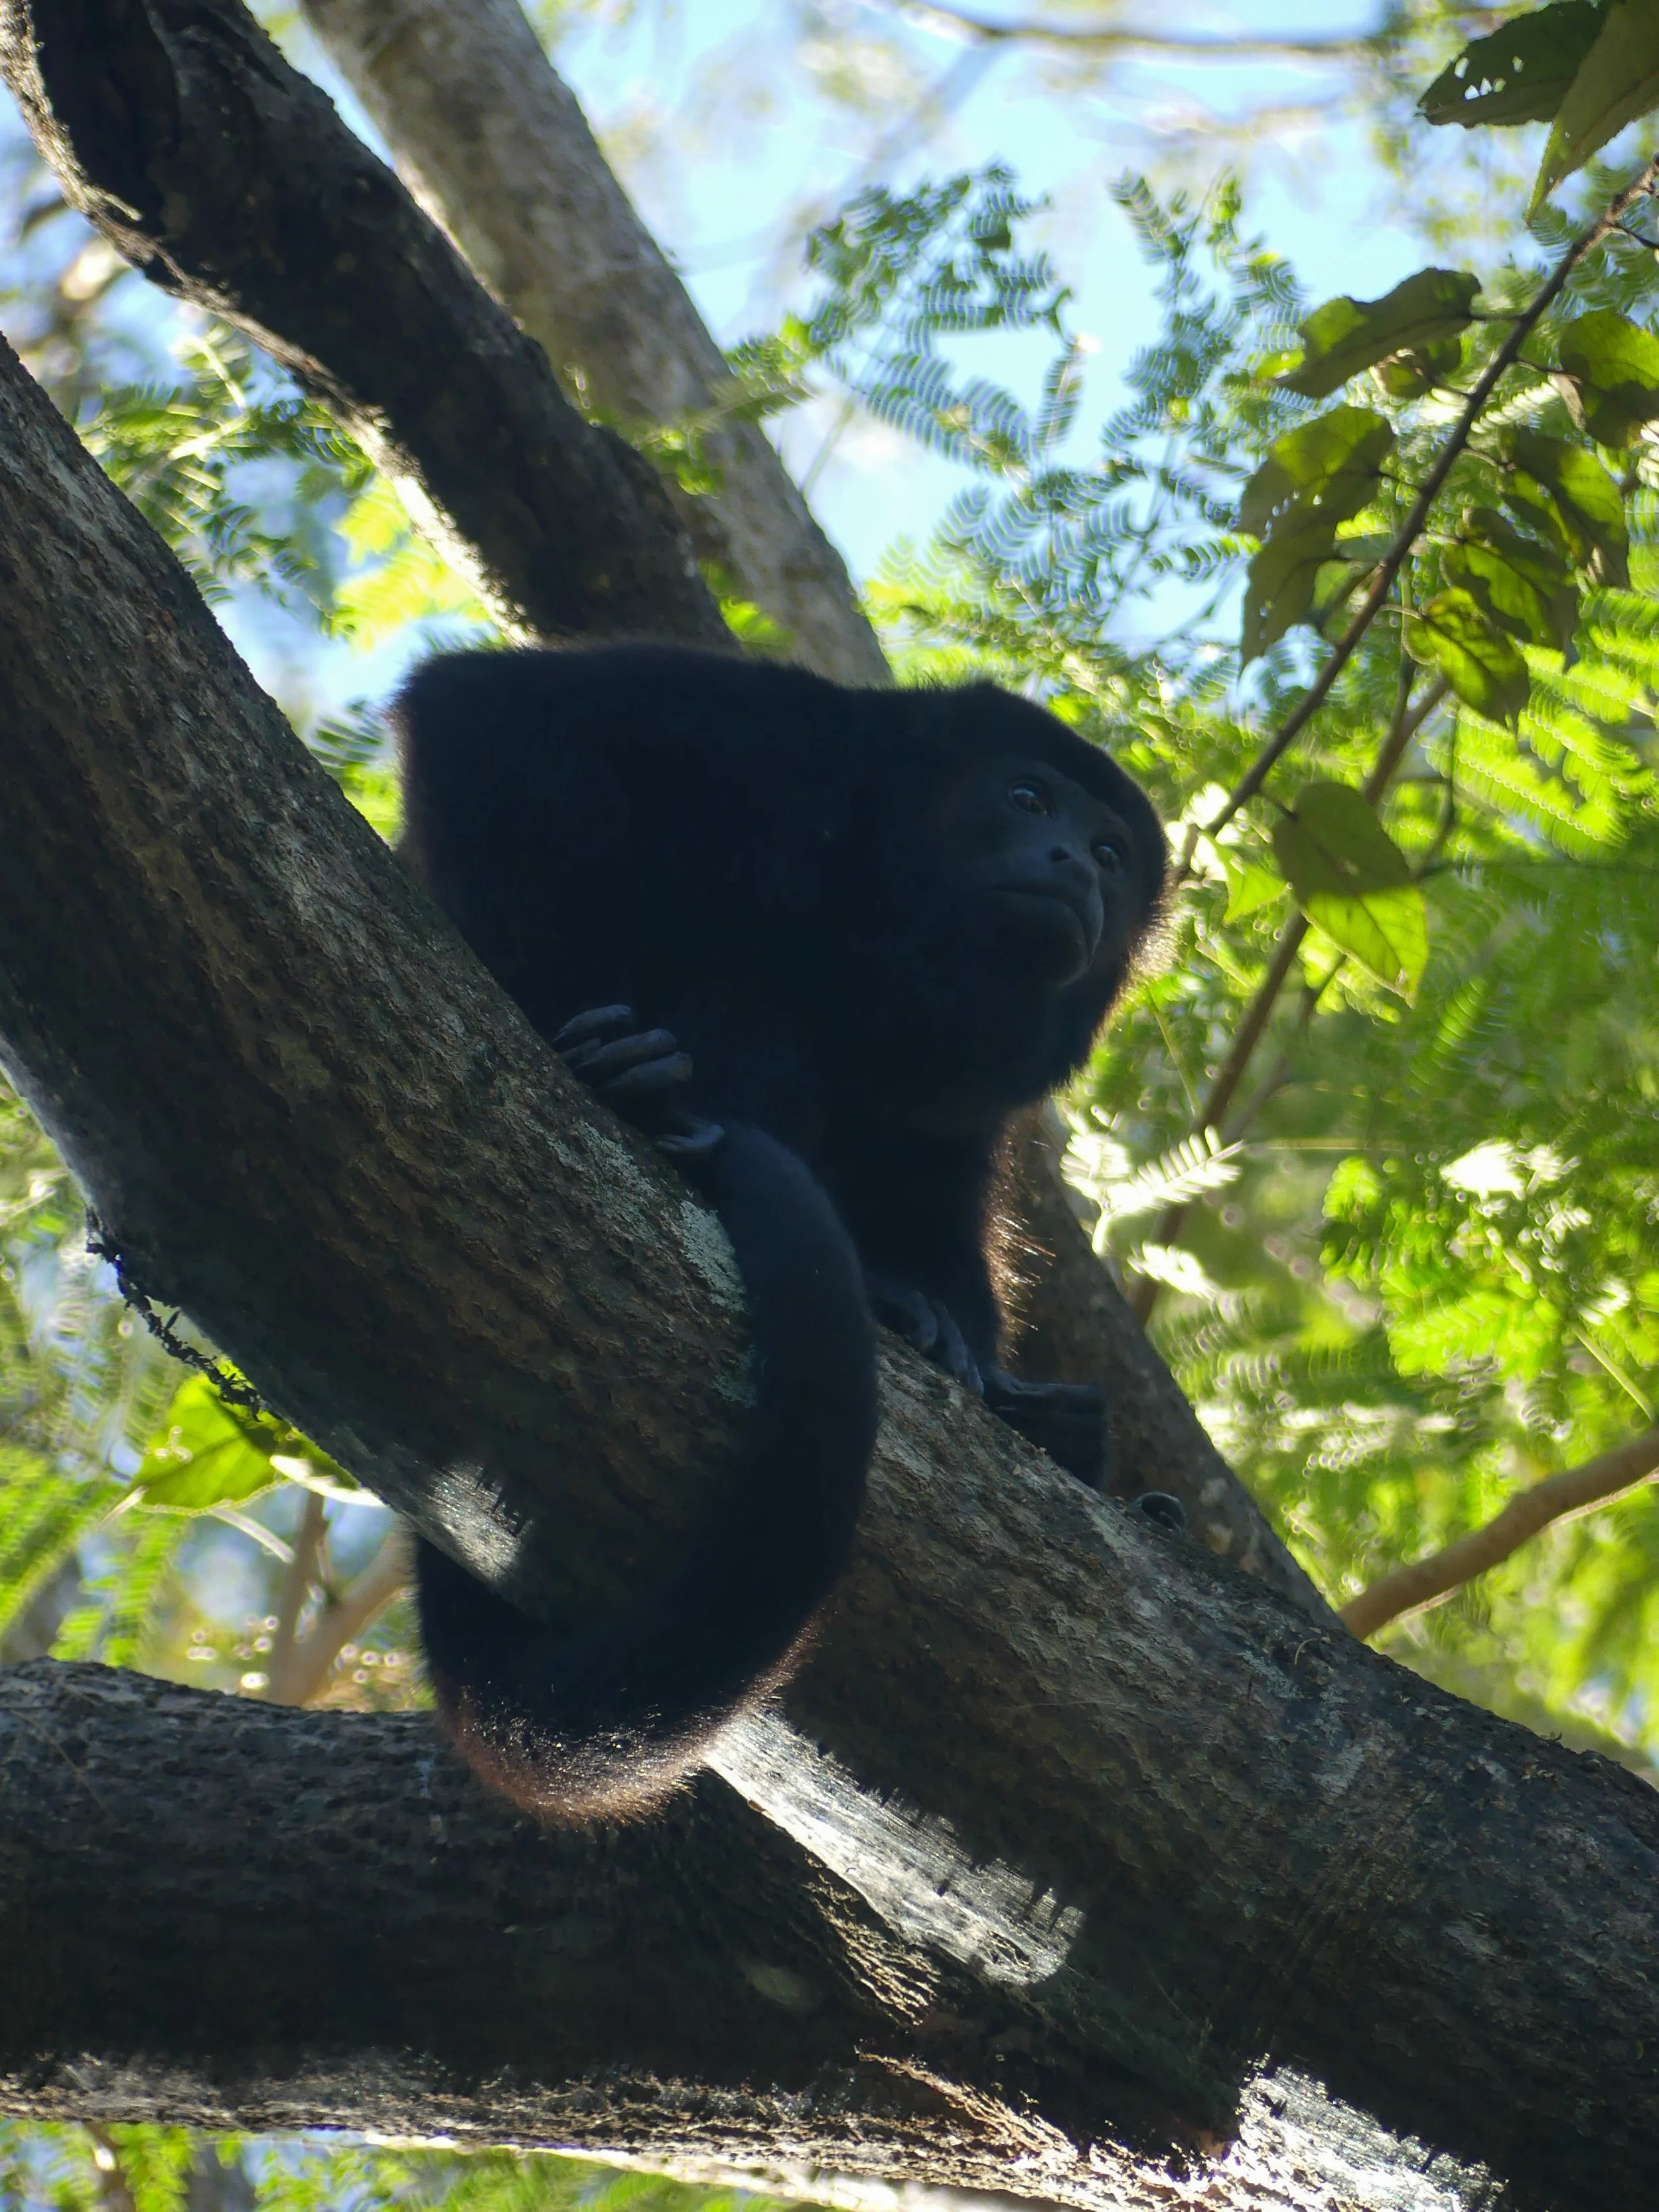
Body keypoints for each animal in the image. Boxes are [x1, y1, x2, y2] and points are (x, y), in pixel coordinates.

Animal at [394, 642, 1165, 1820]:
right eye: (1028, 798)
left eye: (1115, 853)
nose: (1076, 860)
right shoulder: (783, 742)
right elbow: (486, 717)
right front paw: (581, 1035)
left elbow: (946, 1176)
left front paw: (976, 1353)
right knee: (751, 1000)